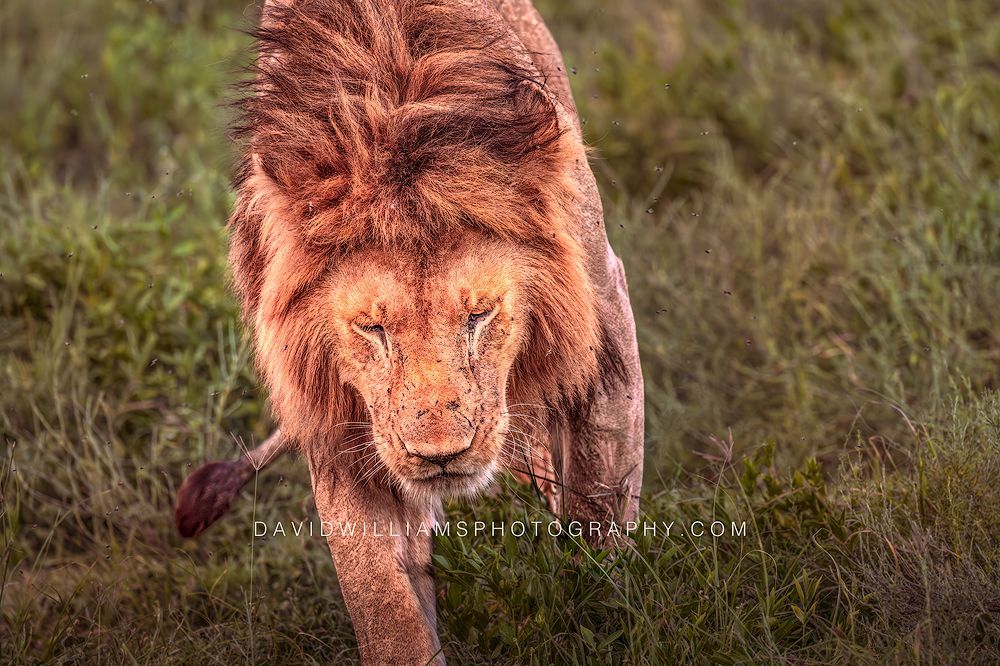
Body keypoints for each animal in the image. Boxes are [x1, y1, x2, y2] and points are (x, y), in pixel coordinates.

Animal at [174, 0, 644, 662]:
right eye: (373, 329)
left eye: (479, 315)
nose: (440, 456)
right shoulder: (341, 420)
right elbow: (380, 597)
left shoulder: (603, 324)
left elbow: (600, 498)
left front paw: (600, 613)